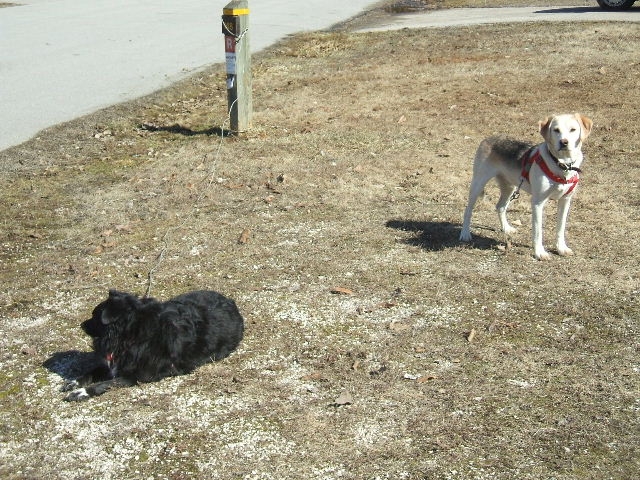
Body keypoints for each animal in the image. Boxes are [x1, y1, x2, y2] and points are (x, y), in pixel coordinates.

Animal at [63, 288, 242, 402]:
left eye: (94, 316)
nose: (81, 325)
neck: (131, 334)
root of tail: (231, 302)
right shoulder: (115, 363)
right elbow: (92, 372)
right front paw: (75, 382)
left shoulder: (136, 376)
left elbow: (106, 384)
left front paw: (82, 392)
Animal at [458, 114, 592, 260]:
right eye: (556, 130)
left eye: (573, 129)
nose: (564, 142)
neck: (562, 165)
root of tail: (489, 138)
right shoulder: (538, 203)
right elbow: (538, 231)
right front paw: (540, 253)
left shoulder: (565, 201)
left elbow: (560, 228)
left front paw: (561, 248)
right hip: (478, 183)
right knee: (468, 210)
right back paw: (465, 233)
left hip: (509, 187)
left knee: (500, 207)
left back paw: (506, 228)